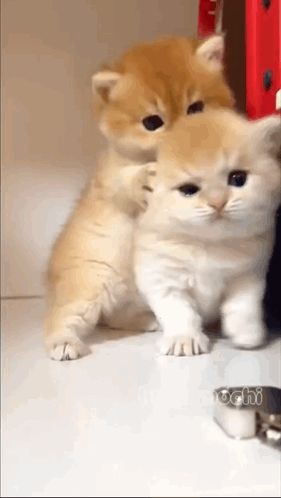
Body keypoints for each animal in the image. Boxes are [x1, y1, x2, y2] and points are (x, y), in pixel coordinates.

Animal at [46, 36, 233, 362]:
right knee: (61, 319)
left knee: (114, 316)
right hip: (88, 286)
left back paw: (147, 320)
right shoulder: (107, 177)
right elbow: (123, 181)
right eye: (152, 122)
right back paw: (63, 342)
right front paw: (144, 179)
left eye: (196, 108)